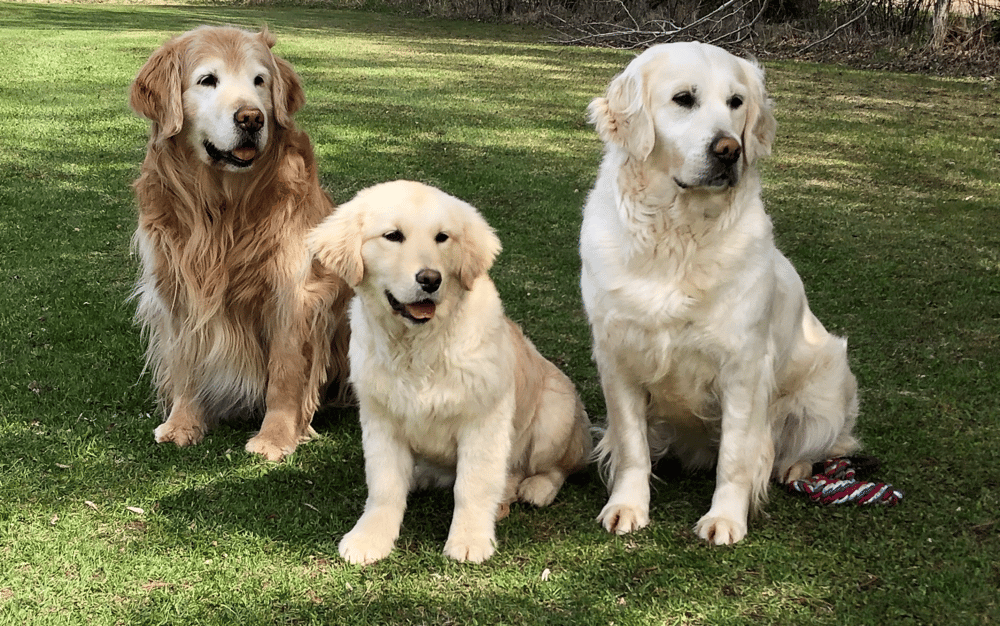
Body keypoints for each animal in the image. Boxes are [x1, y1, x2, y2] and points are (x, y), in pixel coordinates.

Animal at [131, 25, 352, 458]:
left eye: (259, 81)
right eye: (207, 80)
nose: (252, 118)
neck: (225, 208)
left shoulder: (294, 293)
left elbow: (285, 373)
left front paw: (276, 437)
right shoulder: (179, 286)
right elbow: (185, 361)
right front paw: (183, 423)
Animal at [310, 179, 592, 560]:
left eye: (442, 237)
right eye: (393, 236)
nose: (430, 278)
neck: (419, 346)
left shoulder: (483, 421)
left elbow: (472, 486)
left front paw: (470, 540)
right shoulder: (381, 420)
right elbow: (384, 486)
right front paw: (370, 538)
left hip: (556, 412)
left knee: (556, 467)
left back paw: (534, 488)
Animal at [584, 44, 864, 540]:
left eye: (736, 102)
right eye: (683, 99)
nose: (729, 150)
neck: (678, 235)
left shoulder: (744, 367)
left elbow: (736, 456)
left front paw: (725, 518)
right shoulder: (618, 358)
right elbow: (632, 447)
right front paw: (627, 505)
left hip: (825, 398)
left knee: (821, 446)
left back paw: (794, 469)